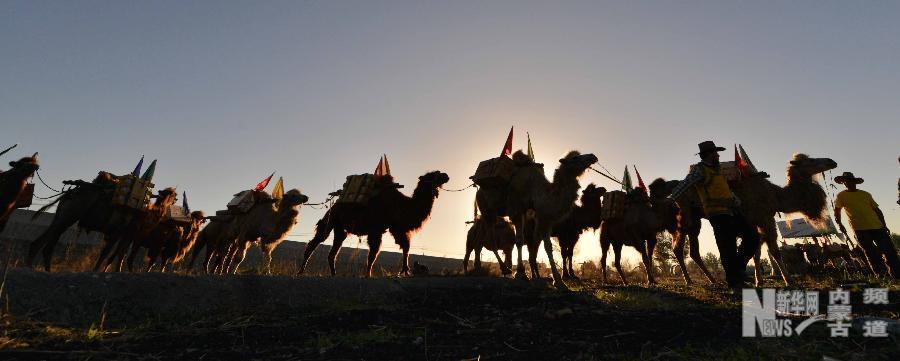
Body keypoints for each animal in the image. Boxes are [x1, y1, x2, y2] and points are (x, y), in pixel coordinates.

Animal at [298, 171, 450, 276]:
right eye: (433, 174)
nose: (446, 175)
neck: (401, 205)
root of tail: (336, 202)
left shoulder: (395, 227)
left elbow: (405, 246)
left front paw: (405, 270)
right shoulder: (377, 229)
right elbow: (373, 255)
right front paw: (368, 275)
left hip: (340, 228)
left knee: (333, 250)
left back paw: (333, 274)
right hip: (331, 218)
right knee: (316, 240)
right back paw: (301, 271)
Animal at [478, 150, 596, 288]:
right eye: (575, 158)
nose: (593, 156)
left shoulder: (543, 217)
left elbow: (548, 246)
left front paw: (559, 281)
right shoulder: (517, 209)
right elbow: (519, 241)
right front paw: (521, 274)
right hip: (486, 210)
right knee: (490, 237)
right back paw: (504, 269)